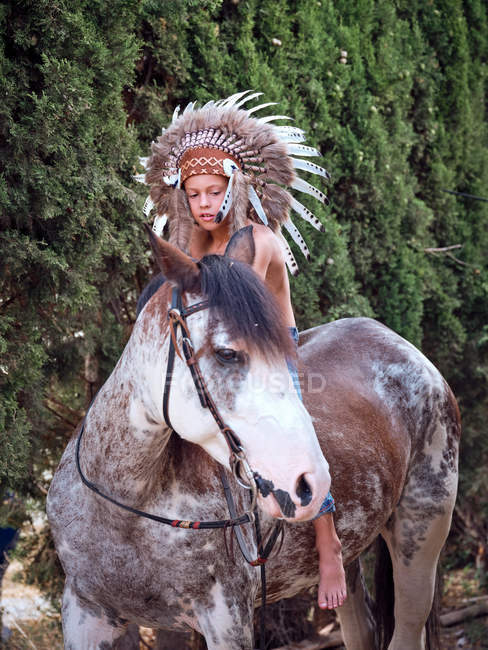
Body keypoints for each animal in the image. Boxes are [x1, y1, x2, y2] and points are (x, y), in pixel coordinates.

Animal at [47, 229, 460, 648]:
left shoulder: (226, 618)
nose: (311, 482)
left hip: (420, 536)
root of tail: (405, 348)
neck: (125, 508)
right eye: (227, 353)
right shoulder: (87, 613)